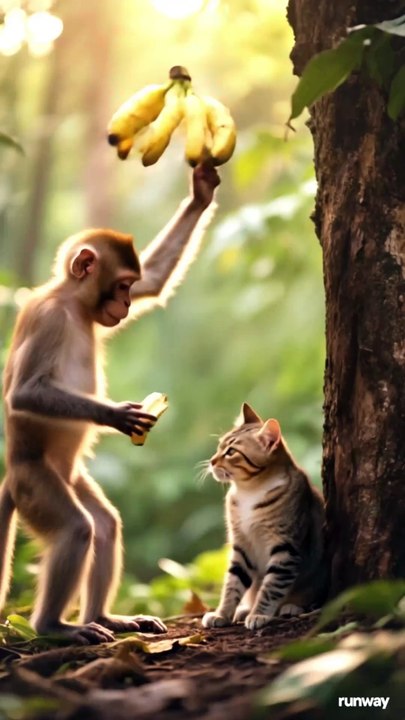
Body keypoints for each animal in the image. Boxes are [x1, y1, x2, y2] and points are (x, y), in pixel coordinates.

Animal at [0, 162, 220, 644]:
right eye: (119, 285)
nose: (123, 302)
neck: (72, 303)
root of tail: (13, 473)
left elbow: (156, 281)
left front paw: (201, 192)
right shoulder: (48, 319)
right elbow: (23, 393)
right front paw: (116, 414)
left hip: (70, 476)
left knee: (104, 524)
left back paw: (103, 616)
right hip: (35, 483)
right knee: (77, 528)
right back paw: (53, 627)